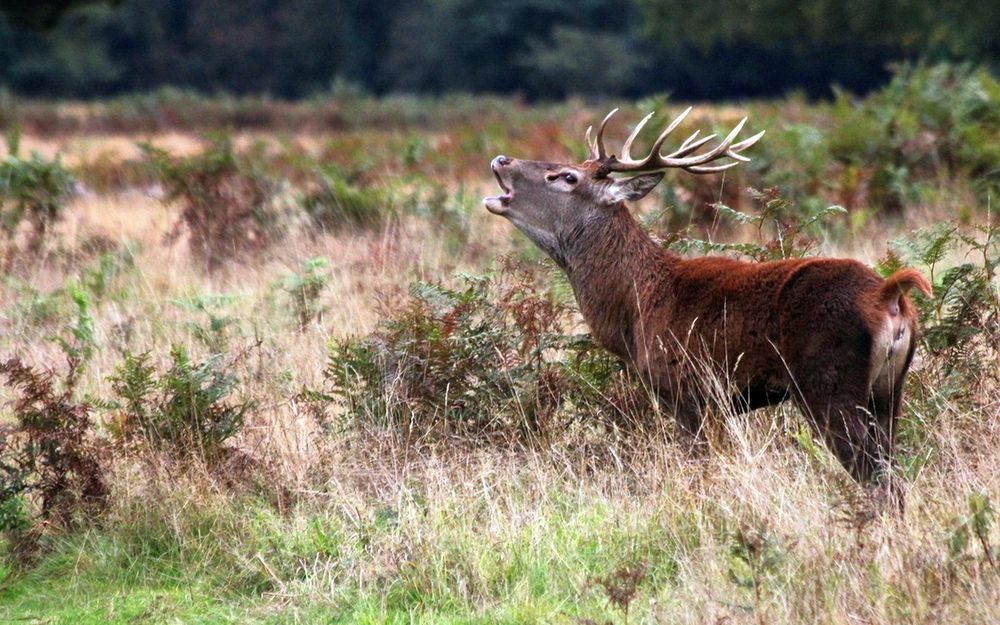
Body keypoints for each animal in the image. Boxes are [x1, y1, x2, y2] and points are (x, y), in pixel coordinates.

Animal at [483, 107, 932, 497]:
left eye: (566, 176)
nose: (501, 158)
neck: (634, 312)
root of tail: (889, 295)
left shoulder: (685, 390)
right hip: (890, 390)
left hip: (829, 384)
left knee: (878, 481)